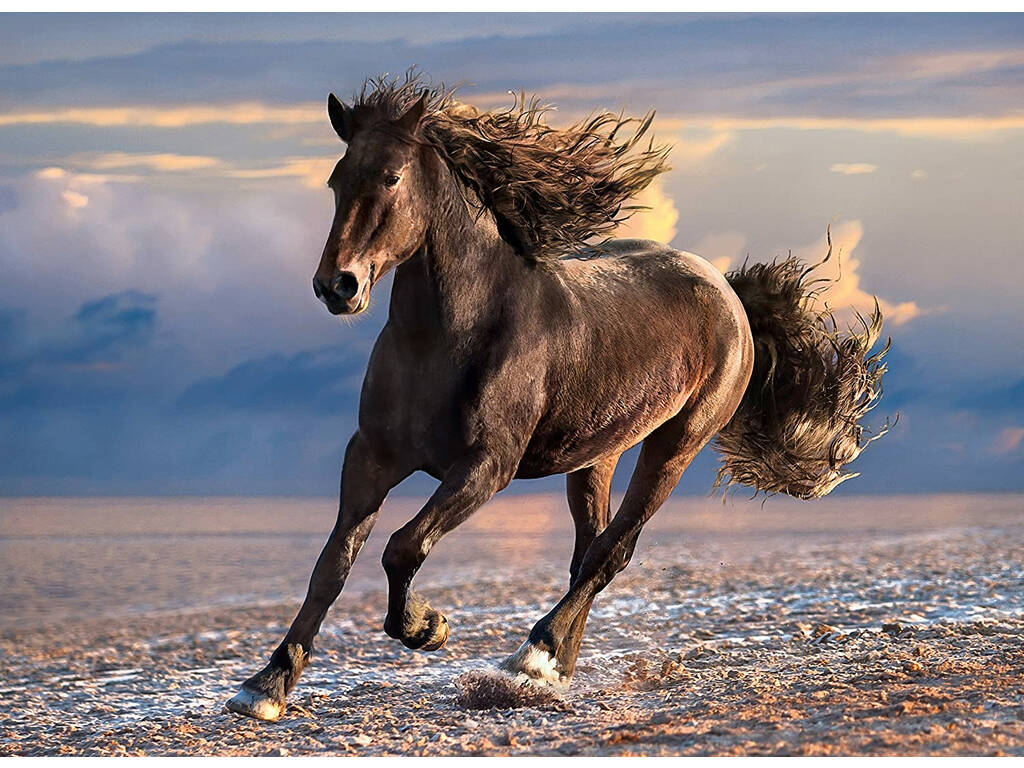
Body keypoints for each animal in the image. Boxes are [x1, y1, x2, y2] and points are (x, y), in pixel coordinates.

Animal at [226, 74, 889, 721]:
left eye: (391, 176)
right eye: (337, 180)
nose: (336, 286)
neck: (448, 338)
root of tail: (726, 291)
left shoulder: (485, 467)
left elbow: (402, 546)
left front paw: (427, 628)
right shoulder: (371, 456)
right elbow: (332, 566)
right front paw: (266, 686)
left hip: (675, 446)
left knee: (611, 551)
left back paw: (533, 658)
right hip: (597, 454)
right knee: (588, 551)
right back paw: (555, 670)